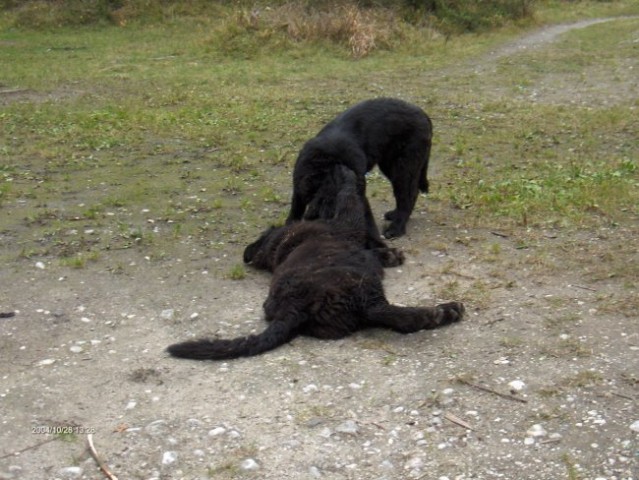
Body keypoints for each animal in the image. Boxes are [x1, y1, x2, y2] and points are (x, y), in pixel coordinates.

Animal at [168, 167, 462, 362]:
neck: (280, 242)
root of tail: (293, 309)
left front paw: (391, 255)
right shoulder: (347, 223)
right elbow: (348, 198)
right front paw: (343, 174)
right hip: (362, 288)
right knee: (397, 316)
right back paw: (444, 311)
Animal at [288, 97, 436, 240]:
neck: (326, 165)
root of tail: (424, 115)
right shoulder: (298, 191)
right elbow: (294, 213)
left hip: (403, 168)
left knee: (408, 196)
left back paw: (396, 229)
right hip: (391, 166)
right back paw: (395, 215)